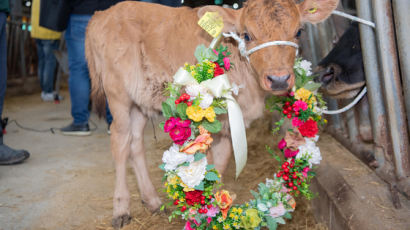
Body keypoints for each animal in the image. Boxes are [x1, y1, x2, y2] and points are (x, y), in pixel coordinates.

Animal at [85, 0, 338, 228]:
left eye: (299, 31)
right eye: (247, 35)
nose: (278, 79)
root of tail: (101, 15)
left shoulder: (227, 125)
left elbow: (220, 165)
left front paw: (216, 210)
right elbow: (201, 167)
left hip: (140, 102)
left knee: (135, 141)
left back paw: (153, 201)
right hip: (117, 95)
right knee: (120, 142)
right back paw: (121, 209)